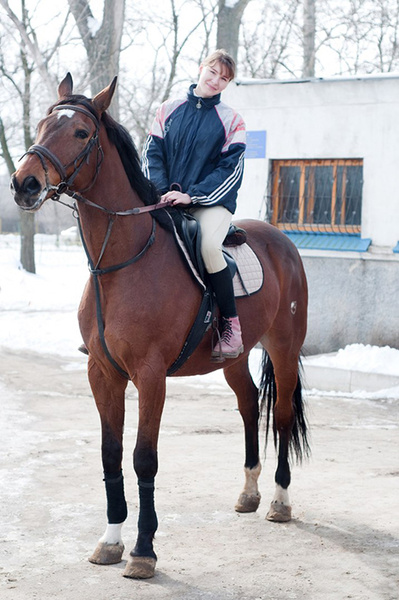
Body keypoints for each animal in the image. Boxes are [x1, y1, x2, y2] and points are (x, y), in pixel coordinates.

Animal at [9, 72, 310, 580]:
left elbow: (143, 459)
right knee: (249, 404)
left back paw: (280, 500)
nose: (23, 183)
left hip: (285, 349)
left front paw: (143, 551)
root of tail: (282, 241)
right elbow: (111, 455)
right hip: (235, 357)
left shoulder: (150, 377)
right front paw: (110, 541)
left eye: (81, 133)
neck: (122, 262)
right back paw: (249, 492)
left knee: (283, 415)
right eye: (44, 123)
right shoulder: (102, 374)